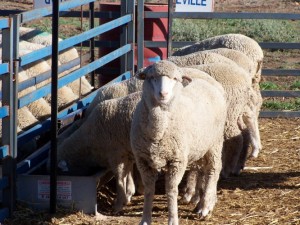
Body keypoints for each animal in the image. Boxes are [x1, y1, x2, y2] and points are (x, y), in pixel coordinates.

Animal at [130, 60, 226, 225]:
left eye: (175, 79)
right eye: (151, 77)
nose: (163, 94)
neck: (158, 130)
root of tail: (207, 82)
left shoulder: (177, 160)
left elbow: (171, 190)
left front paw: (173, 220)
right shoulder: (143, 160)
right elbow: (149, 190)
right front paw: (145, 219)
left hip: (215, 143)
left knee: (214, 169)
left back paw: (206, 207)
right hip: (199, 146)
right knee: (203, 169)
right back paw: (202, 203)